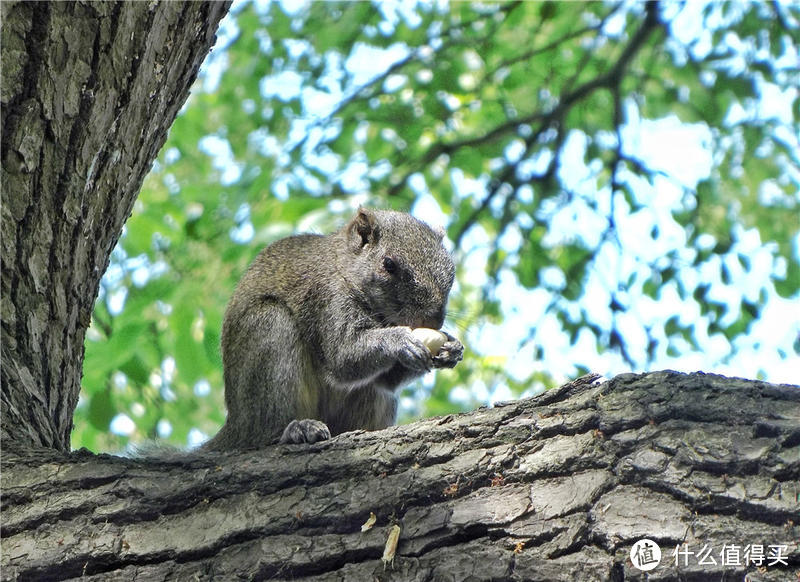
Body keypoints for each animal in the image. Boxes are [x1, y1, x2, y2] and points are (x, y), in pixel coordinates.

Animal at [203, 210, 466, 452]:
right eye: (388, 264)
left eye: (451, 272)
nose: (433, 320)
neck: (343, 267)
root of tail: (236, 426)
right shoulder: (328, 296)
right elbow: (342, 356)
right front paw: (401, 340)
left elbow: (386, 380)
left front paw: (452, 349)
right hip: (268, 332)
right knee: (264, 432)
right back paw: (294, 430)